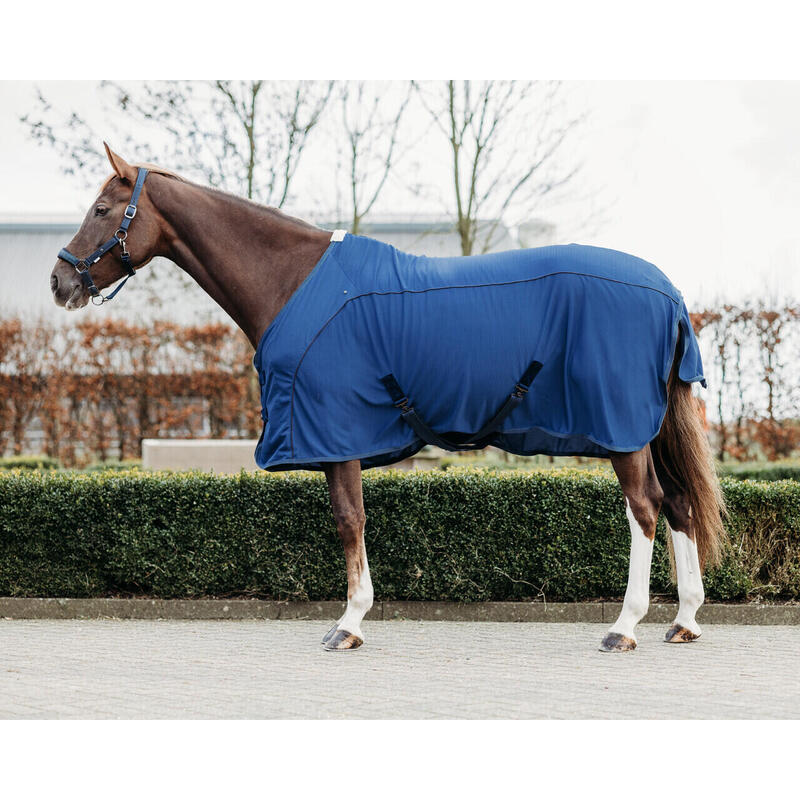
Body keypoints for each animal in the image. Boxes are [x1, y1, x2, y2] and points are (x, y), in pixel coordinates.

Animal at [50, 143, 725, 653]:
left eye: (103, 208)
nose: (58, 282)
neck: (292, 279)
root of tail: (667, 292)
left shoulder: (336, 431)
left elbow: (350, 520)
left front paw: (348, 623)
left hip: (622, 429)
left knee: (645, 507)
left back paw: (624, 626)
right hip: (644, 427)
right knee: (679, 503)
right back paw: (684, 620)